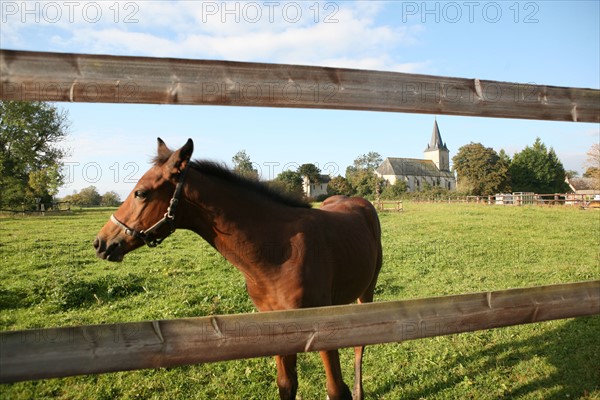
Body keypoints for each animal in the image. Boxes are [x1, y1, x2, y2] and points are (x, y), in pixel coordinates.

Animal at [95, 138, 384, 400]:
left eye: (141, 193)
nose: (101, 243)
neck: (279, 252)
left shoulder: (321, 324)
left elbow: (336, 390)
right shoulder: (277, 325)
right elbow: (286, 385)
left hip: (367, 291)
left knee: (360, 345)